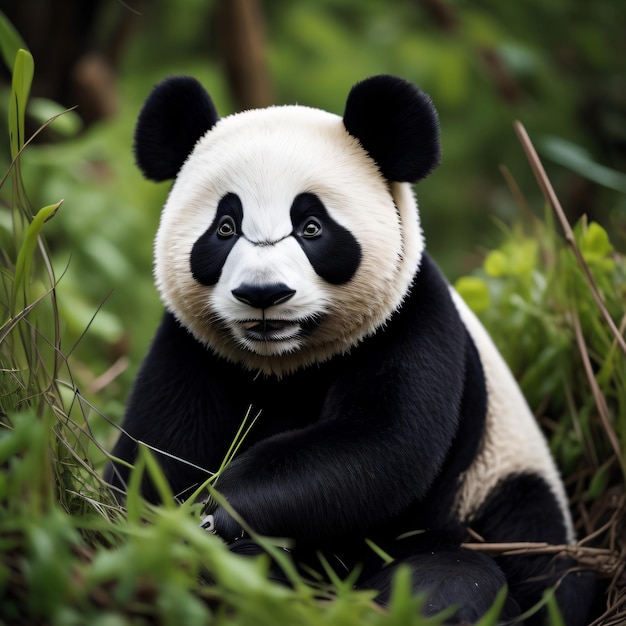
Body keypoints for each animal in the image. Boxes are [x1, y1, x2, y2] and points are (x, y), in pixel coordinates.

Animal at [105, 73, 592, 620]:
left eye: (311, 227)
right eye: (225, 228)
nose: (263, 295)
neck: (284, 362)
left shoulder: (408, 320)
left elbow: (382, 444)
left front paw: (221, 511)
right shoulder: (194, 349)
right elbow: (155, 451)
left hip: (497, 488)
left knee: (480, 575)